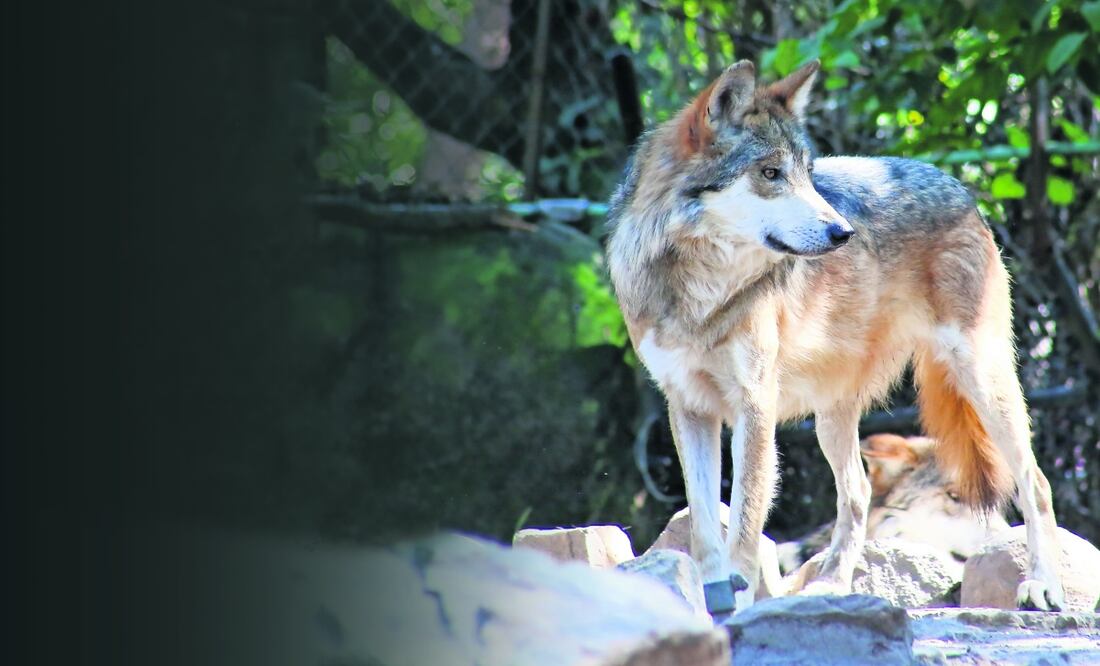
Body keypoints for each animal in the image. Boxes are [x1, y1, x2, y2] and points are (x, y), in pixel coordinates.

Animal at [606, 59, 1064, 611]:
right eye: (770, 174)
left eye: (807, 175)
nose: (843, 232)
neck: (699, 291)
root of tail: (958, 185)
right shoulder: (689, 407)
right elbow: (703, 528)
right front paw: (713, 603)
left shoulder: (753, 410)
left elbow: (745, 529)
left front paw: (740, 606)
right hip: (832, 417)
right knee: (859, 493)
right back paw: (831, 586)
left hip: (981, 379)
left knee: (1035, 482)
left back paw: (1044, 584)